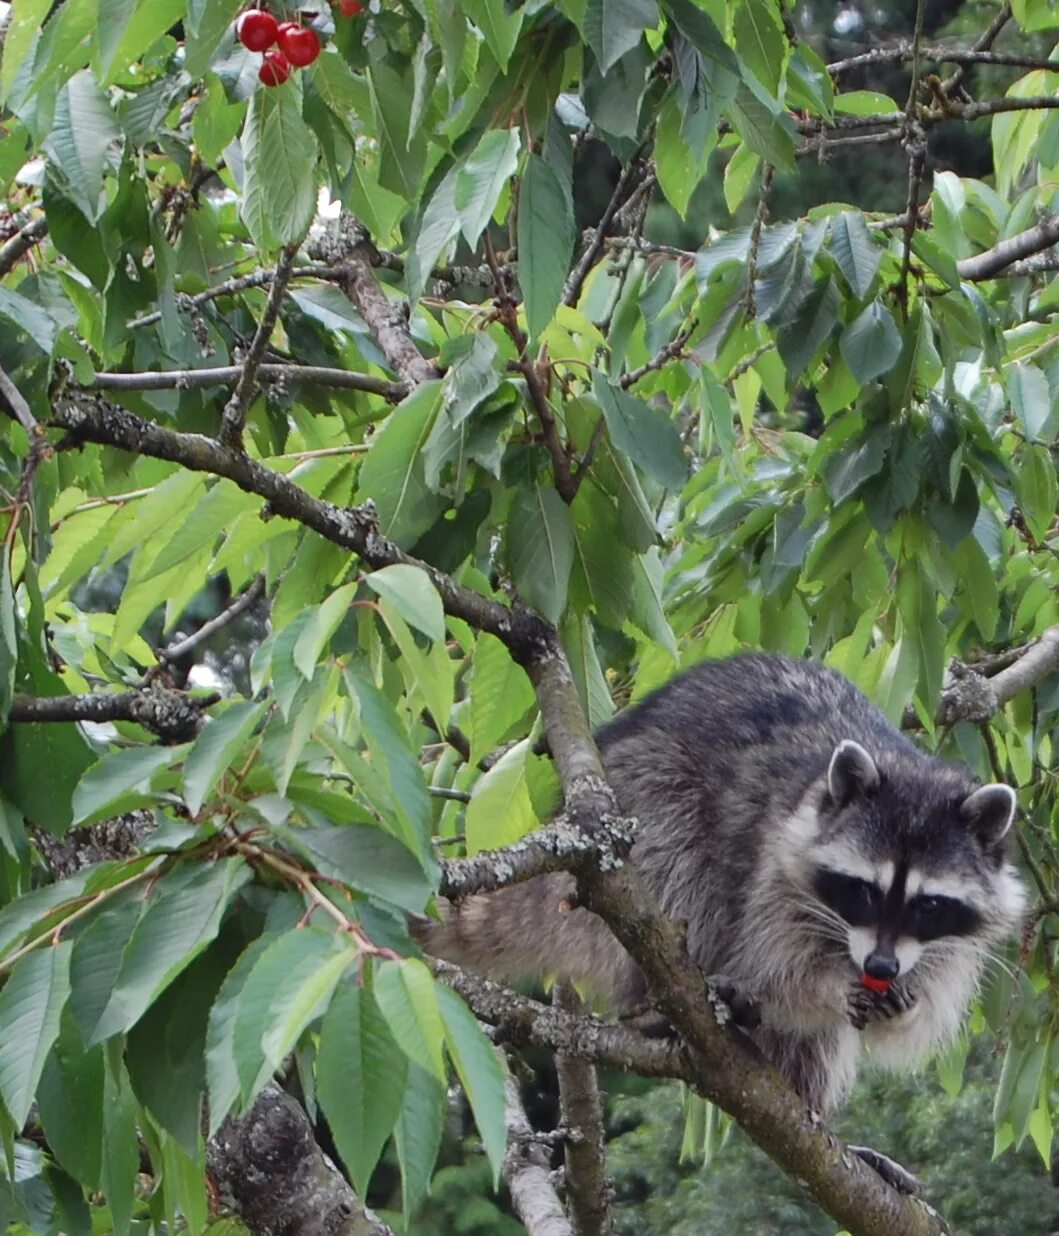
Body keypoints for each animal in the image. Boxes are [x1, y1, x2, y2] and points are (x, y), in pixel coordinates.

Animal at [422, 652, 1023, 1117]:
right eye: (867, 891)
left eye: (928, 905)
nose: (880, 967)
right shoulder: (770, 866)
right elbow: (778, 969)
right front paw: (823, 985)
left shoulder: (948, 939)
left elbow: (920, 1006)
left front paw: (907, 1003)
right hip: (640, 795)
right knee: (678, 862)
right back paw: (659, 1003)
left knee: (812, 1043)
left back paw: (813, 1109)